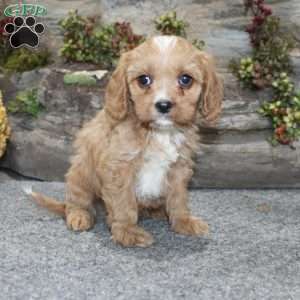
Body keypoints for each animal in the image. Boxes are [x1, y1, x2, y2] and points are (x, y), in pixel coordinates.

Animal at [28, 35, 223, 246]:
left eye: (186, 79)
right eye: (144, 80)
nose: (163, 105)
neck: (159, 133)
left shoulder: (179, 167)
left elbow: (178, 198)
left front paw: (183, 221)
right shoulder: (119, 167)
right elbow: (124, 203)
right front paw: (127, 231)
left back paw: (157, 211)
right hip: (81, 173)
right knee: (77, 200)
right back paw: (79, 215)